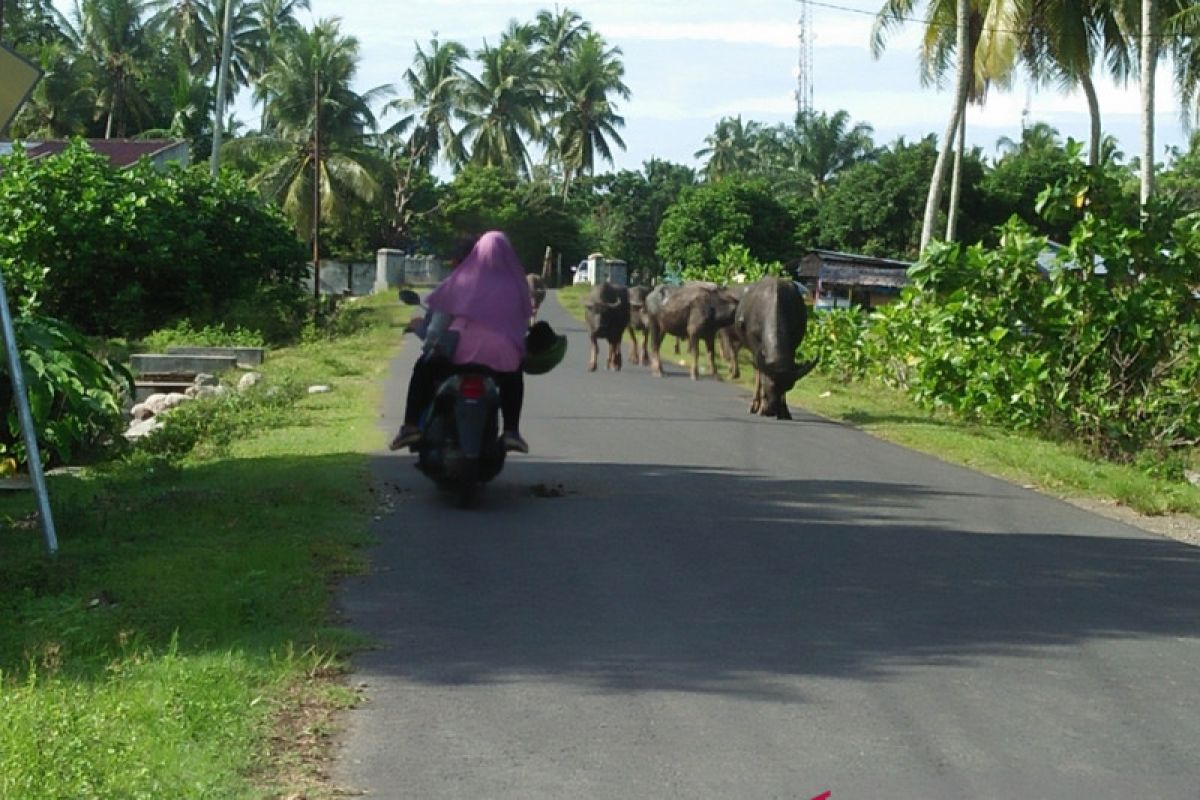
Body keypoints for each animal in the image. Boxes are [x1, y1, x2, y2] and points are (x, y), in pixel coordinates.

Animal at [734, 277, 820, 419]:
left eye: (788, 387)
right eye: (770, 384)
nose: (772, 410)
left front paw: (784, 411)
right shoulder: (756, 348)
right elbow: (760, 374)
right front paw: (761, 408)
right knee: (757, 372)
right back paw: (755, 405)